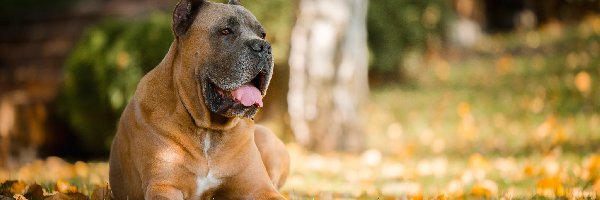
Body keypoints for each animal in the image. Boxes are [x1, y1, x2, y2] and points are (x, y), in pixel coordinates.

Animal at [110, 0, 292, 198]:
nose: (264, 46)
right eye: (226, 31)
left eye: (262, 34)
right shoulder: (163, 186)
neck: (208, 131)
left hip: (266, 136)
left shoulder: (260, 187)